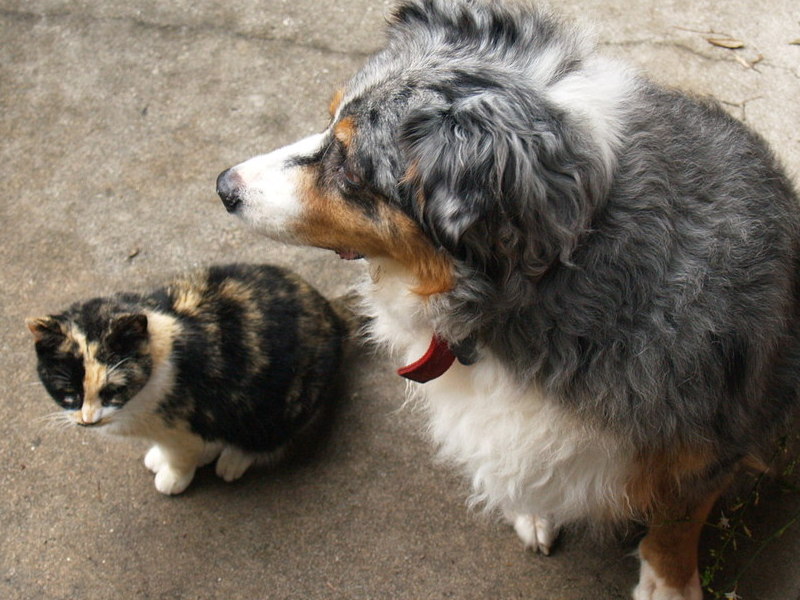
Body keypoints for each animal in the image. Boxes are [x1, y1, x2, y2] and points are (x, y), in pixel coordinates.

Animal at [26, 264, 346, 494]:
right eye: (69, 392)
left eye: (114, 390)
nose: (88, 420)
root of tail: (332, 313)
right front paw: (163, 457)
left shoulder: (184, 421)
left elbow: (180, 454)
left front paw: (173, 478)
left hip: (281, 403)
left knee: (265, 436)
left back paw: (233, 460)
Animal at [214, 2, 800, 596]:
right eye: (329, 118)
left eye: (351, 169)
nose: (224, 186)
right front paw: (533, 509)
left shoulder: (715, 431)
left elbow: (678, 521)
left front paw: (668, 584)